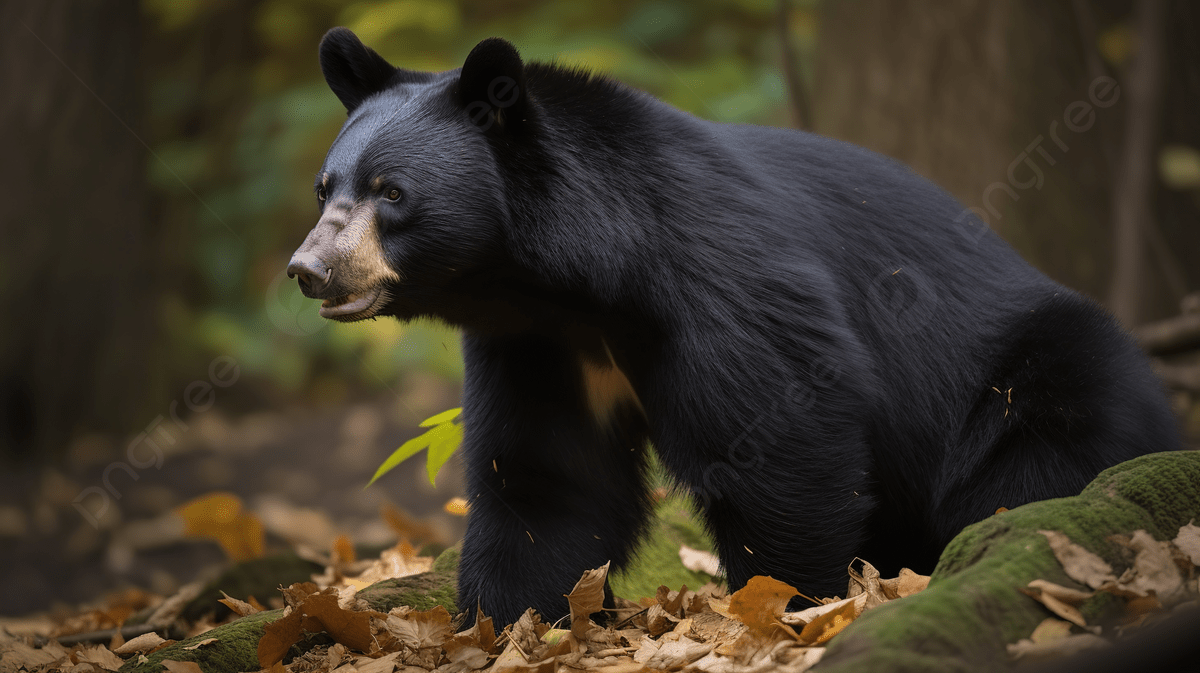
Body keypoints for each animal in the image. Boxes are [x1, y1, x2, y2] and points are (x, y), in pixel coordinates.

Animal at [287, 28, 1180, 626]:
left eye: (392, 193)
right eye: (326, 187)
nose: (310, 269)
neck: (578, 287)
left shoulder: (722, 285)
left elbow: (780, 446)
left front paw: (786, 605)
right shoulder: (537, 346)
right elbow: (546, 479)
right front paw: (510, 621)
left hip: (1039, 369)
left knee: (1036, 463)